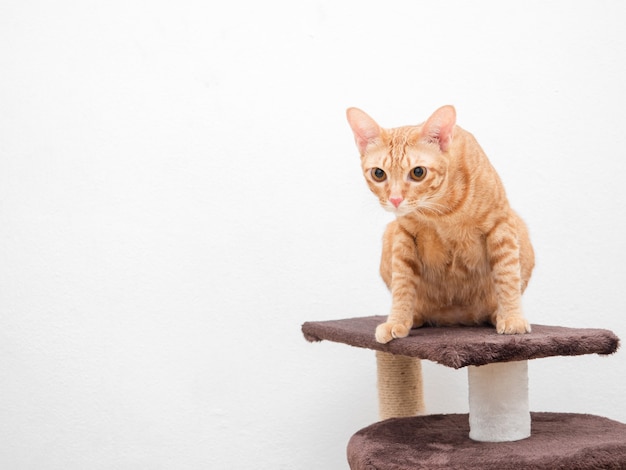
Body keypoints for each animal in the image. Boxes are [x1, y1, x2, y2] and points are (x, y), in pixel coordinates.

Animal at [346, 104, 532, 344]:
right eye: (379, 173)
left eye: (418, 172)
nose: (395, 199)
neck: (442, 210)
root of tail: (456, 319)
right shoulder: (403, 235)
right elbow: (402, 285)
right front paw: (397, 320)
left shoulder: (501, 225)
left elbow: (508, 277)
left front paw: (512, 317)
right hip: (390, 235)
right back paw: (414, 317)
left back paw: (496, 314)